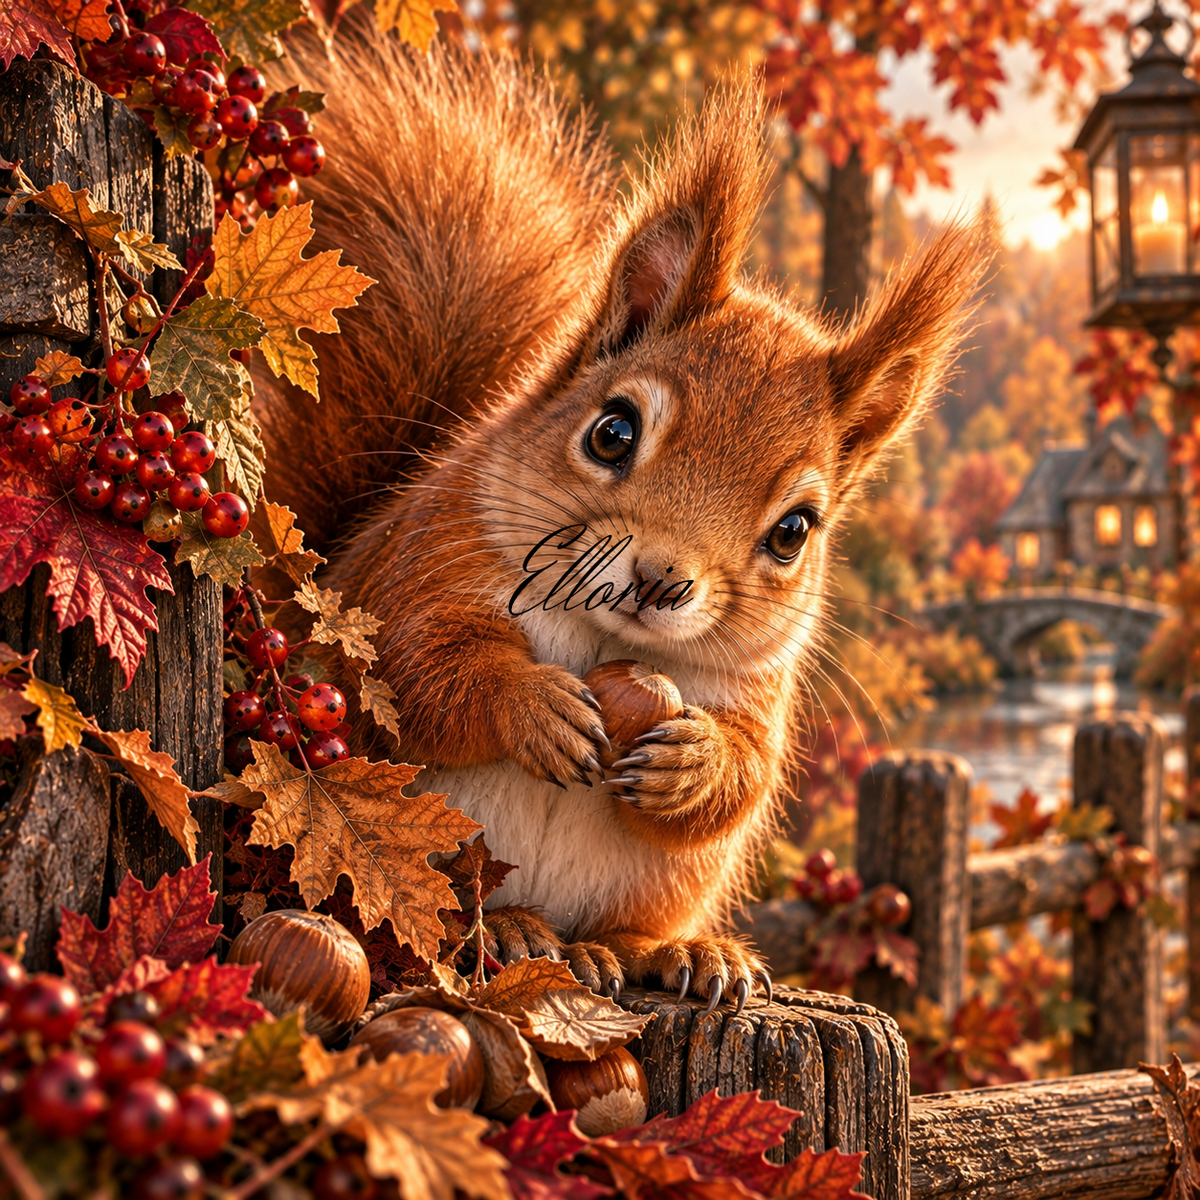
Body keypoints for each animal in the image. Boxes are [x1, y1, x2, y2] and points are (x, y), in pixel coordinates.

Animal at [257, 16, 996, 1009]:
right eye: (612, 432)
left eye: (794, 531)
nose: (661, 578)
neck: (607, 639)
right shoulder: (416, 572)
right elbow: (419, 671)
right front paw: (531, 705)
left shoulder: (760, 686)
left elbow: (750, 769)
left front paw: (695, 763)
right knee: (446, 920)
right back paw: (518, 930)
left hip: (663, 883)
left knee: (624, 928)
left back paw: (677, 952)